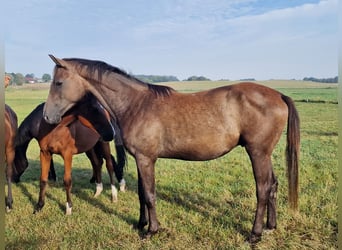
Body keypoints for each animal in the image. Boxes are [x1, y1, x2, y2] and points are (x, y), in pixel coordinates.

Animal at [42, 55, 300, 243]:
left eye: (59, 83)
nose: (47, 117)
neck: (136, 104)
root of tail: (278, 95)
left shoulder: (146, 159)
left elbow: (149, 194)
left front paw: (152, 230)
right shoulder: (141, 159)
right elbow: (141, 193)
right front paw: (141, 224)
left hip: (257, 153)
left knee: (263, 189)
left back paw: (255, 234)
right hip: (264, 154)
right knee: (273, 185)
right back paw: (270, 226)